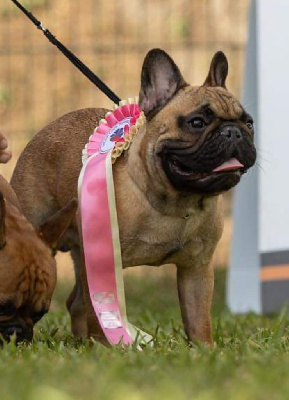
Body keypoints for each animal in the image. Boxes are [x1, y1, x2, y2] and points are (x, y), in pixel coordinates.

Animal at [10, 49, 254, 344]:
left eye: (249, 122)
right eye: (197, 122)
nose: (234, 131)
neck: (176, 203)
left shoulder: (197, 269)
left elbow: (198, 319)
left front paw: (204, 348)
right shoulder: (101, 264)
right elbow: (99, 313)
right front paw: (109, 347)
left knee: (76, 302)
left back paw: (81, 342)